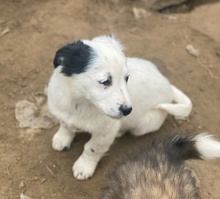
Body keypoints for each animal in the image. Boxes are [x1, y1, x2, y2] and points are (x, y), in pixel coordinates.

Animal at [46, 35, 220, 198]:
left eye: (126, 78)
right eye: (105, 81)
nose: (128, 110)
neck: (80, 103)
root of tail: (169, 87)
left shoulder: (105, 131)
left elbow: (92, 148)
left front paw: (84, 167)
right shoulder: (62, 110)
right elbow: (65, 124)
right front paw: (62, 138)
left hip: (145, 124)